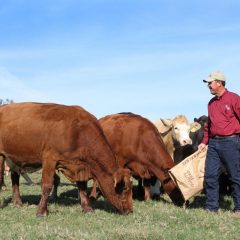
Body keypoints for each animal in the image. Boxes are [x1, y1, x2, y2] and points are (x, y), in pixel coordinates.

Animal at [0, 102, 133, 217]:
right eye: (125, 188)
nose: (130, 211)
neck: (77, 132)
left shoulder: (80, 165)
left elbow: (82, 186)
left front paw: (87, 208)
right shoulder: (49, 158)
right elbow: (47, 185)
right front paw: (42, 212)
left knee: (15, 177)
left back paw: (17, 202)